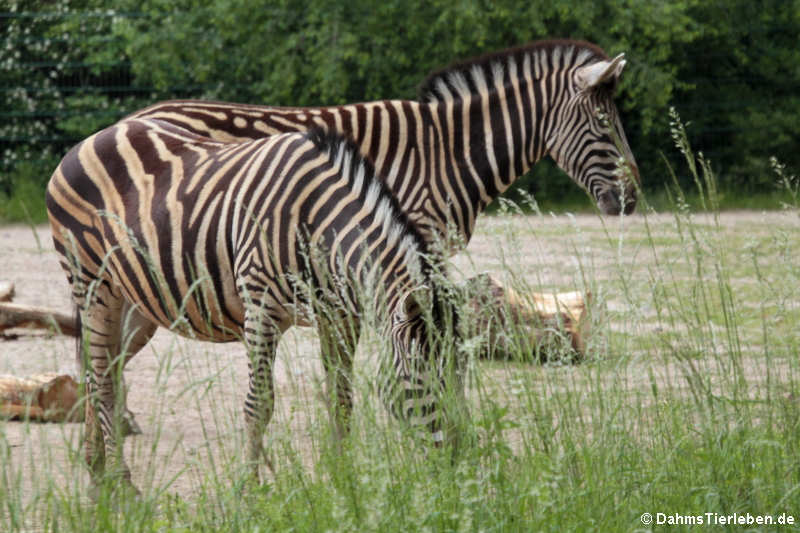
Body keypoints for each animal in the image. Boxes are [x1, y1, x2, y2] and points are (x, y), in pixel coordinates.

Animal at [48, 120, 462, 490]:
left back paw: (97, 474)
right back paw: (123, 487)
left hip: (136, 301)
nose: (459, 459)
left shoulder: (338, 317)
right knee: (103, 382)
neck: (314, 222)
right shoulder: (261, 310)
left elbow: (341, 399)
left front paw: (345, 483)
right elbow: (259, 404)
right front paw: (249, 492)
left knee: (100, 372)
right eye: (423, 372)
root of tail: (91, 138)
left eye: (459, 372)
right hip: (93, 284)